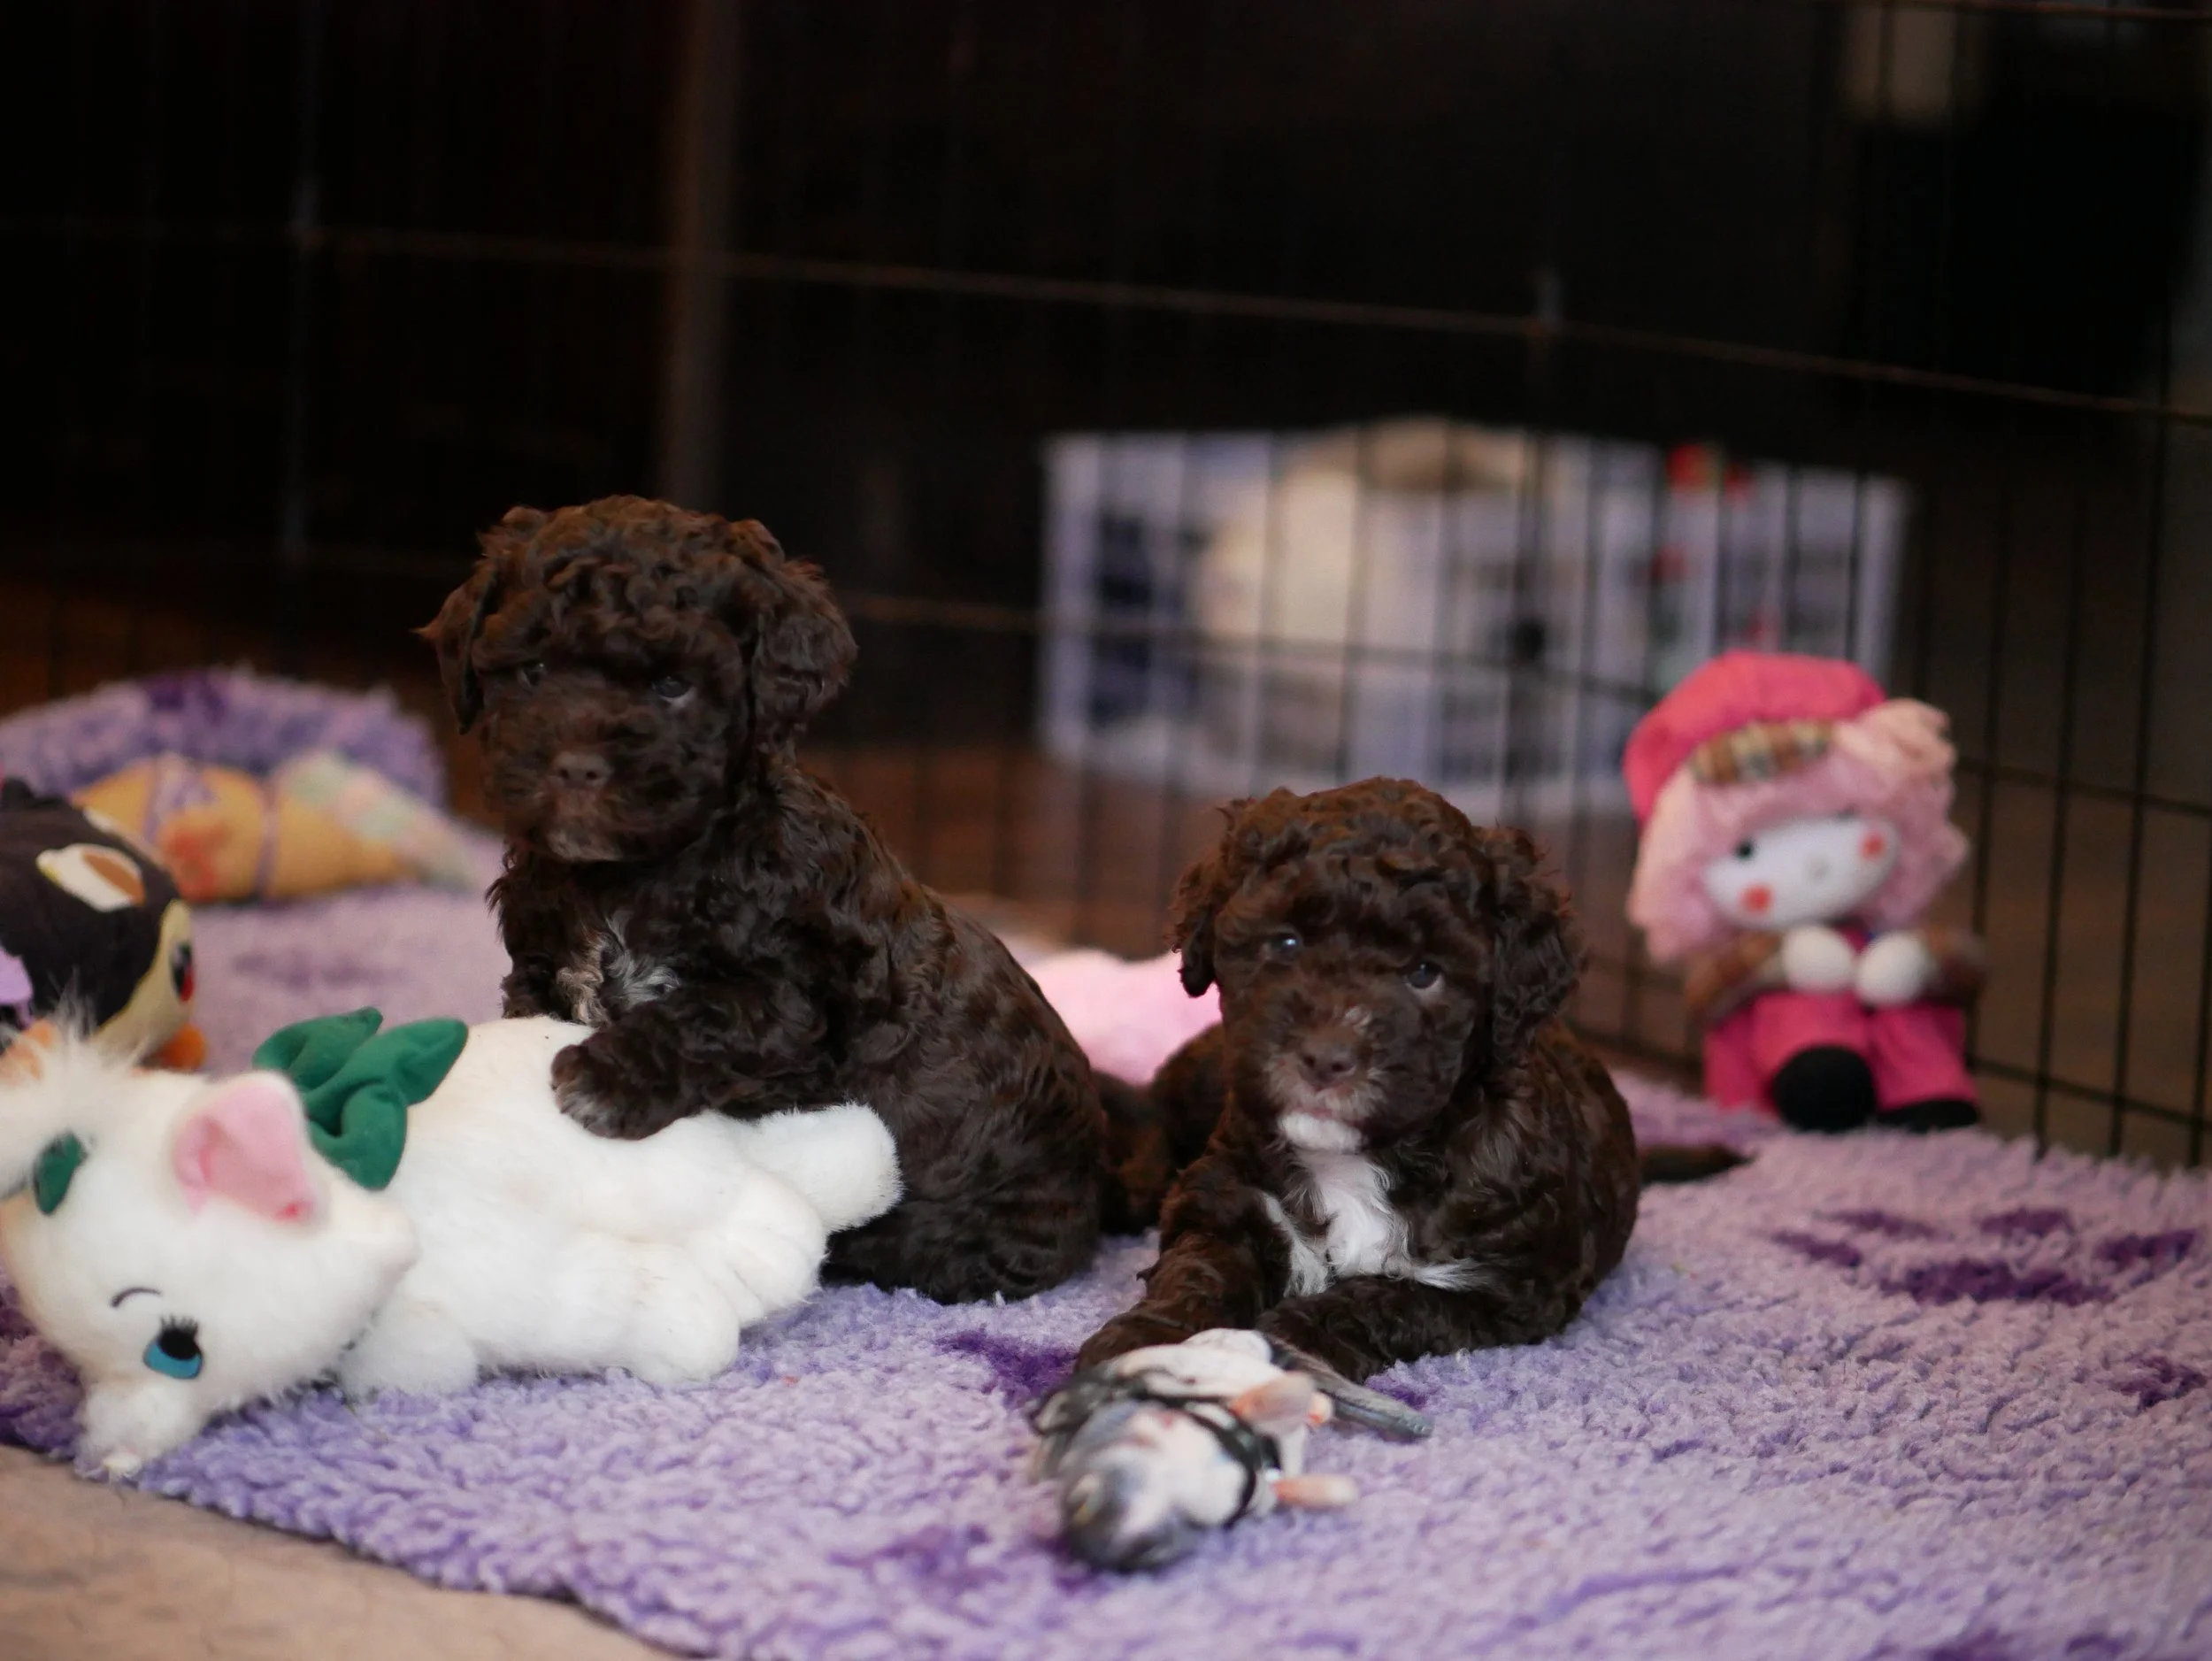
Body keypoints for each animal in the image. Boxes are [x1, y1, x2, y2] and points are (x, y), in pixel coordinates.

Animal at [422, 496, 1148, 1303]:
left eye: (672, 685)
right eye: (534, 670)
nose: (577, 767)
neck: (630, 871)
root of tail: (1099, 1175)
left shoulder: (799, 1003)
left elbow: (705, 1015)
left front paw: (607, 1077)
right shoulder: (540, 966)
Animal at [1077, 778, 1743, 1381]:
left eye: (1425, 973)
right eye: (1285, 942)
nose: (1327, 1057)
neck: (1361, 1161)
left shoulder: (1504, 1286)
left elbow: (1395, 1300)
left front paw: (1292, 1334)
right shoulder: (1229, 1197)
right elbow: (1200, 1267)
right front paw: (1145, 1344)